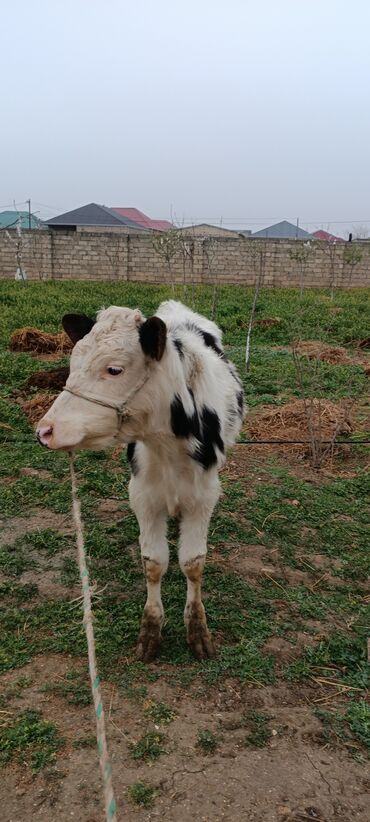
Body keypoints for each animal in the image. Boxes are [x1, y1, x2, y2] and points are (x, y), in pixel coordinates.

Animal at [36, 302, 244, 664]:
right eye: (73, 362)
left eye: (114, 369)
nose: (45, 431)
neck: (168, 443)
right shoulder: (143, 495)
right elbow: (154, 563)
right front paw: (150, 632)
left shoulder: (204, 496)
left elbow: (193, 562)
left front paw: (198, 631)